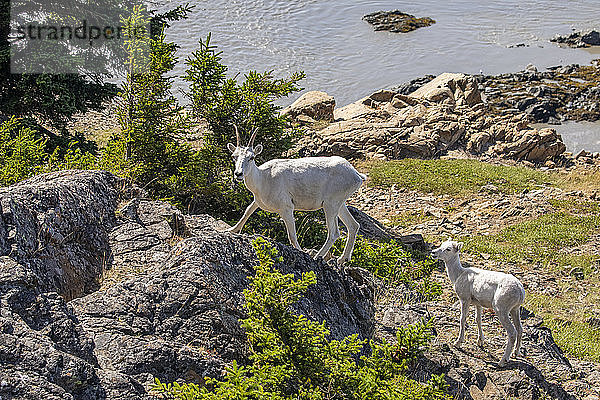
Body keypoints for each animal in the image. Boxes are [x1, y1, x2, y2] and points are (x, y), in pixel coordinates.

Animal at [226, 125, 364, 262]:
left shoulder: (286, 208)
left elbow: (292, 235)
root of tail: (357, 175)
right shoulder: (258, 202)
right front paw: (231, 230)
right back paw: (342, 259)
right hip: (340, 204)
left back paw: (317, 257)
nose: (238, 174)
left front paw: (300, 251)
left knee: (334, 233)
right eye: (234, 156)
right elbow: (247, 211)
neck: (263, 178)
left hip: (330, 204)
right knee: (353, 225)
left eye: (252, 157)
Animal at [432, 239, 524, 368]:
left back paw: (502, 361)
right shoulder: (478, 303)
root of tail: (520, 291)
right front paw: (480, 341)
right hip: (515, 309)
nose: (433, 252)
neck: (458, 275)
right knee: (520, 329)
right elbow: (478, 320)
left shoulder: (465, 299)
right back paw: (516, 353)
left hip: (501, 309)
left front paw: (458, 342)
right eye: (441, 245)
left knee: (512, 332)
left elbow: (463, 319)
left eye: (448, 249)